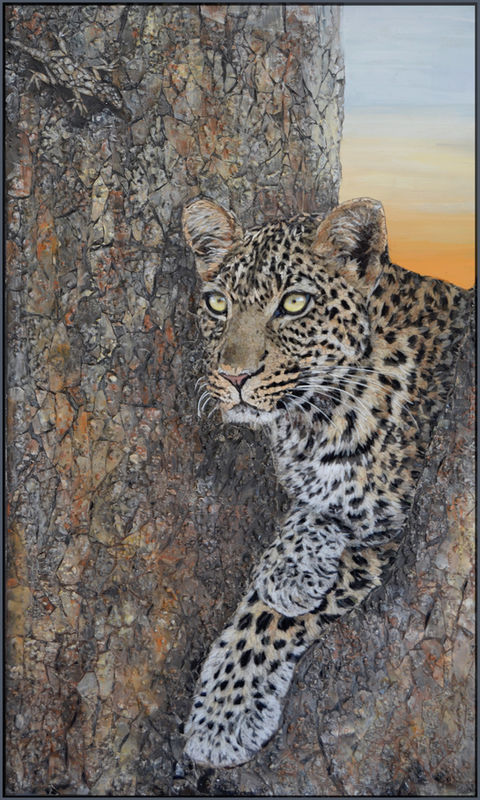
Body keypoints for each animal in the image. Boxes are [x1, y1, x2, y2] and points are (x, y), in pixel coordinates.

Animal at [180, 196, 470, 768]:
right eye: (218, 305)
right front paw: (291, 566)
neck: (314, 417)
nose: (233, 377)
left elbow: (267, 618)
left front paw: (222, 718)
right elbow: (318, 499)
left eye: (294, 303)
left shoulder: (397, 514)